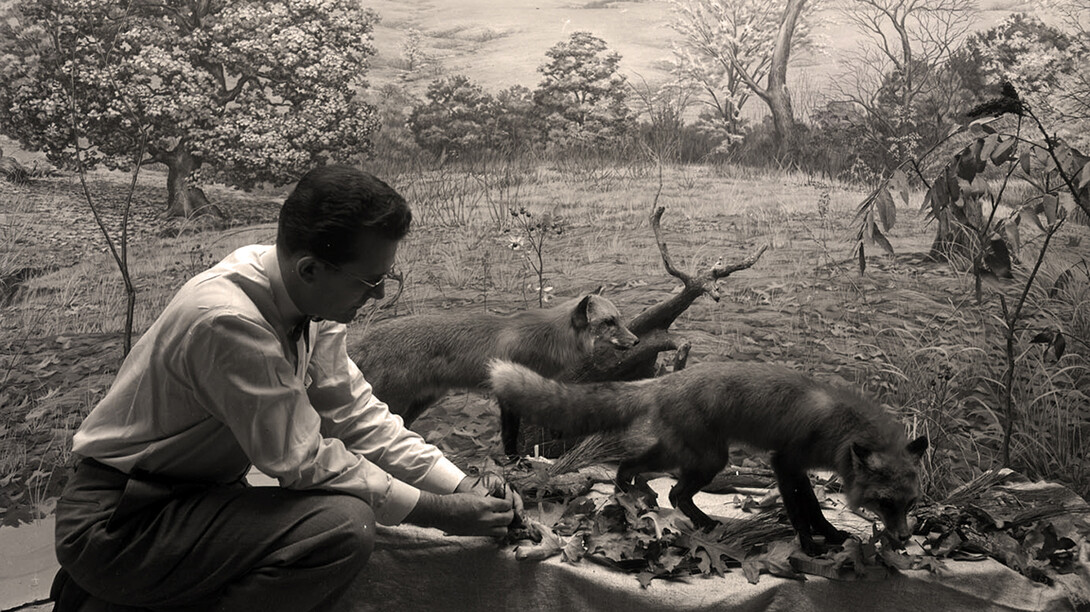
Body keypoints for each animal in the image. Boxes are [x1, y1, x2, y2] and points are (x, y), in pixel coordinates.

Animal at [348, 294, 636, 451]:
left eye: (620, 319)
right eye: (609, 322)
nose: (635, 341)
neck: (548, 338)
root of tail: (363, 342)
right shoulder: (508, 389)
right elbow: (510, 434)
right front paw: (515, 461)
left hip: (419, 403)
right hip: (393, 402)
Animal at [494, 357, 928, 554]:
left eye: (910, 503)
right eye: (884, 503)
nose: (905, 537)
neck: (837, 425)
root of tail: (666, 379)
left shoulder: (798, 468)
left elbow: (813, 507)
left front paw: (832, 534)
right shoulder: (784, 461)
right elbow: (800, 510)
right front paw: (809, 544)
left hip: (682, 456)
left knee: (640, 472)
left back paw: (633, 496)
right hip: (708, 461)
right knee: (673, 492)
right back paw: (680, 515)